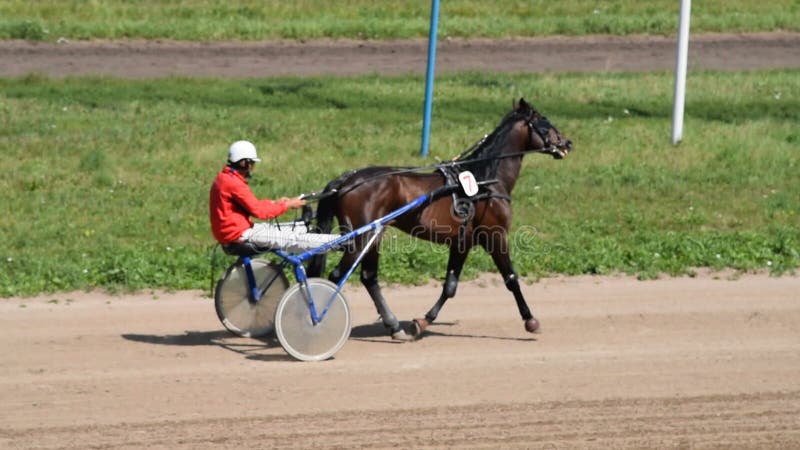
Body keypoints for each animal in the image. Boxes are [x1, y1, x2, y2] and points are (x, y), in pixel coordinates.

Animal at [310, 97, 572, 338]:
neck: (485, 181)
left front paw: (422, 322)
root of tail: (346, 181)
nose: (567, 143)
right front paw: (530, 320)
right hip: (362, 238)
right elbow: (511, 278)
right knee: (337, 276)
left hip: (374, 236)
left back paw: (394, 325)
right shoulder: (495, 236)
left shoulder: (462, 243)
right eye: (546, 123)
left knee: (369, 277)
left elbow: (450, 286)